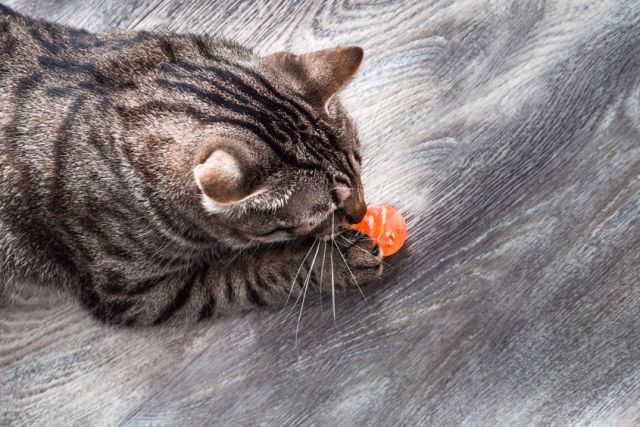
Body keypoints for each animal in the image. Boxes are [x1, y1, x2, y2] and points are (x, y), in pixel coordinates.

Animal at [0, 3, 382, 326]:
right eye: (325, 211)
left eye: (360, 167)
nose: (361, 213)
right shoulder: (135, 292)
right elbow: (245, 273)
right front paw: (336, 262)